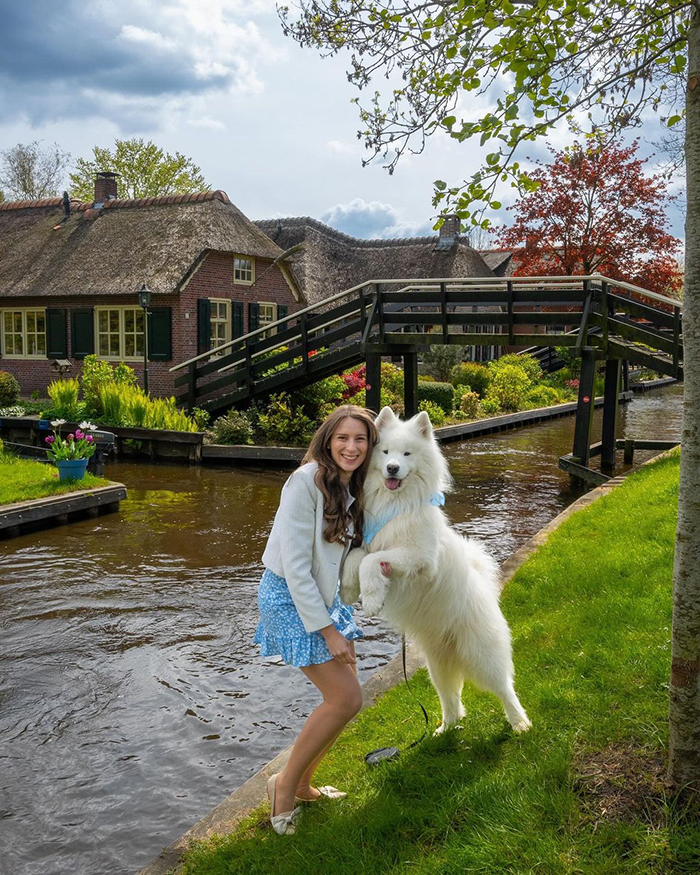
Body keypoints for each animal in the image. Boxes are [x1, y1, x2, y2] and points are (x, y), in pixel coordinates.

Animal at [340, 408, 532, 736]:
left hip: (482, 655)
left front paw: (373, 599)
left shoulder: (419, 558)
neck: (396, 504)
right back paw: (445, 729)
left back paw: (520, 723)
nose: (392, 468)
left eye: (407, 454)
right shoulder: (369, 544)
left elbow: (371, 561)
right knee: (452, 699)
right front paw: (350, 589)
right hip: (437, 667)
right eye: (385, 452)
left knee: (505, 688)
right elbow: (357, 557)